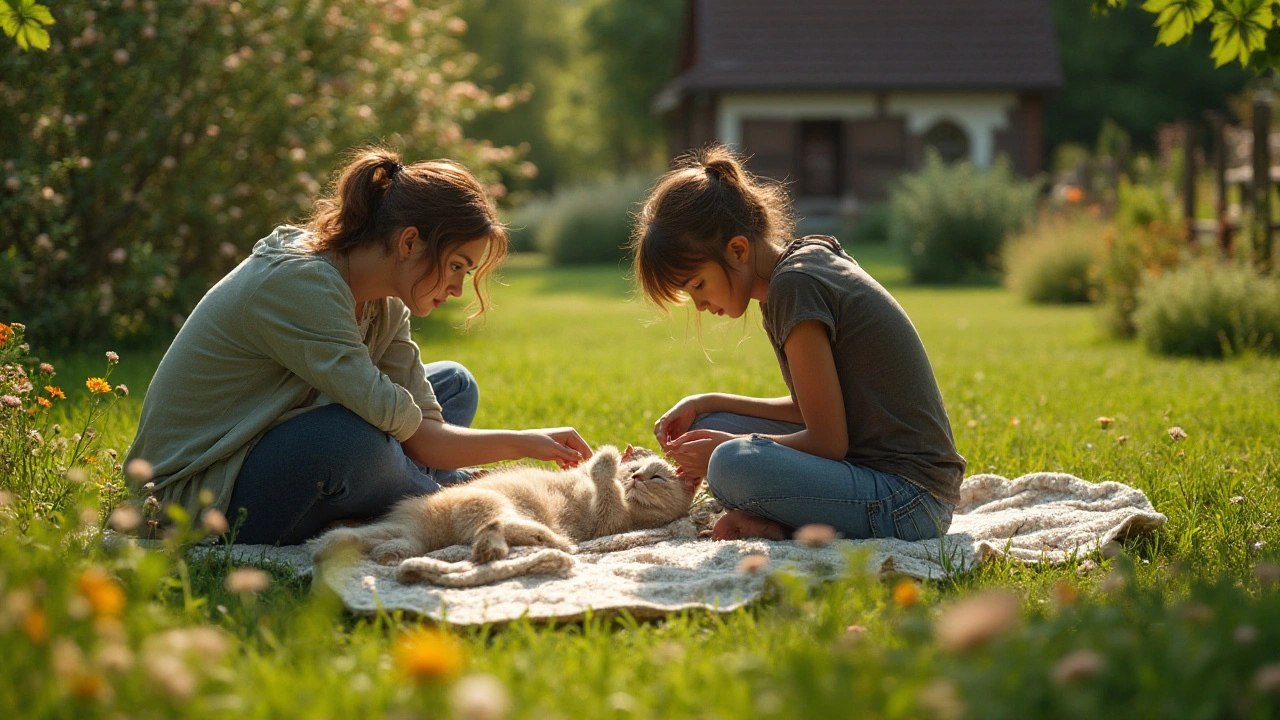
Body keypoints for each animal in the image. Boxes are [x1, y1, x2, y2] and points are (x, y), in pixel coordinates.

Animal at [308, 443, 691, 566]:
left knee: (497, 528)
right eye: (636, 469)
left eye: (657, 478)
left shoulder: (607, 520)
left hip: (489, 506)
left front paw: (605, 459)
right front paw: (605, 459)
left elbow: (603, 484)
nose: (637, 477)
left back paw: (552, 542)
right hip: (410, 527)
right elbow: (599, 477)